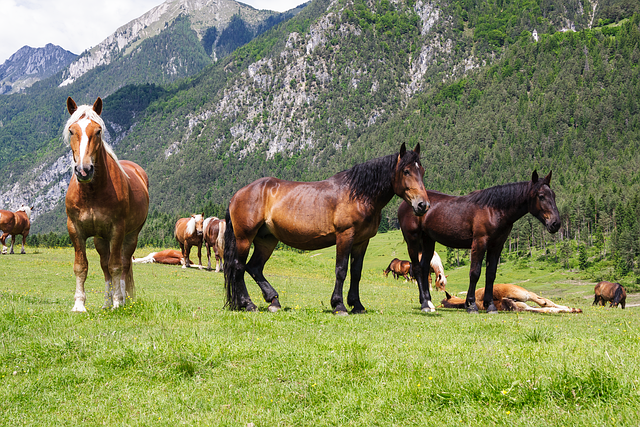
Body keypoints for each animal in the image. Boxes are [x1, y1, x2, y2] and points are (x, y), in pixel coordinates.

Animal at [65, 97, 150, 312]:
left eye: (98, 131)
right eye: (71, 130)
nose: (84, 170)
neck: (92, 193)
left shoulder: (117, 230)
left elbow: (116, 267)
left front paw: (118, 302)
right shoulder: (75, 229)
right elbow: (81, 266)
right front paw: (79, 304)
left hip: (130, 236)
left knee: (124, 263)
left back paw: (123, 299)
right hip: (100, 239)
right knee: (105, 266)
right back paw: (106, 301)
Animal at [225, 144, 430, 314]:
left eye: (422, 170)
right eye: (406, 171)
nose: (423, 205)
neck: (358, 195)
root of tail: (238, 194)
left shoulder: (362, 241)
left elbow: (356, 272)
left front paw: (357, 305)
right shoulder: (345, 236)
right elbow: (341, 270)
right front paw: (339, 305)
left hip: (266, 240)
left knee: (254, 267)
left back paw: (273, 301)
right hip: (245, 238)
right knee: (239, 267)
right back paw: (248, 304)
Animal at [400, 171, 560, 314]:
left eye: (554, 195)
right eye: (541, 196)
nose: (555, 224)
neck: (493, 210)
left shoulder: (497, 246)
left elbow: (491, 274)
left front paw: (490, 306)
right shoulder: (479, 243)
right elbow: (475, 273)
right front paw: (471, 306)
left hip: (428, 241)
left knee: (424, 268)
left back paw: (428, 302)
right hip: (412, 241)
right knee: (418, 268)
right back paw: (425, 305)